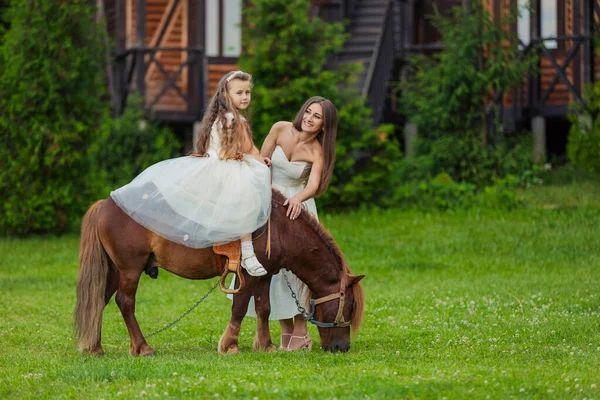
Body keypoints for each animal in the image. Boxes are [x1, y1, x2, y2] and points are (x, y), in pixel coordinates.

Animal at [75, 191, 366, 356]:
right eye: (350, 307)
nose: (342, 348)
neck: (281, 228)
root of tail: (106, 204)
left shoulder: (265, 275)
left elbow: (264, 308)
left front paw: (266, 345)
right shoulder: (247, 275)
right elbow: (239, 308)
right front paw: (230, 346)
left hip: (114, 271)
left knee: (98, 300)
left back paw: (94, 347)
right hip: (130, 270)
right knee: (125, 303)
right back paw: (143, 347)